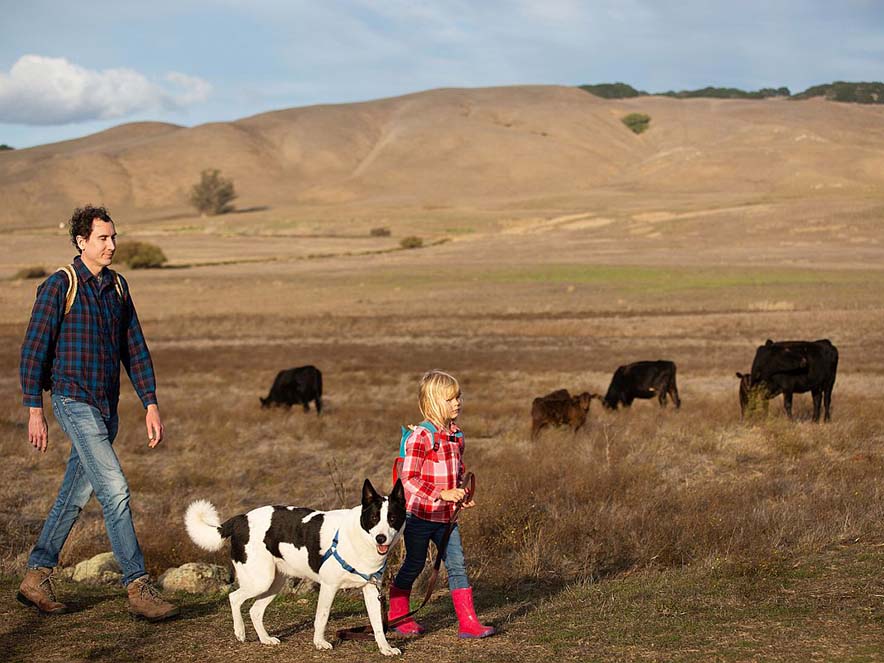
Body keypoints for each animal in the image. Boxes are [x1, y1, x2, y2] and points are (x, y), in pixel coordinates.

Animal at [188, 480, 410, 656]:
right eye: (374, 519)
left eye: (392, 519)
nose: (381, 538)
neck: (359, 537)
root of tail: (241, 519)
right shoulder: (329, 587)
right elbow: (322, 617)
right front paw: (319, 643)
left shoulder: (372, 590)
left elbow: (378, 625)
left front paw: (385, 648)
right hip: (261, 580)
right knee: (234, 597)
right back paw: (240, 632)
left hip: (274, 583)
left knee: (255, 610)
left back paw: (265, 639)